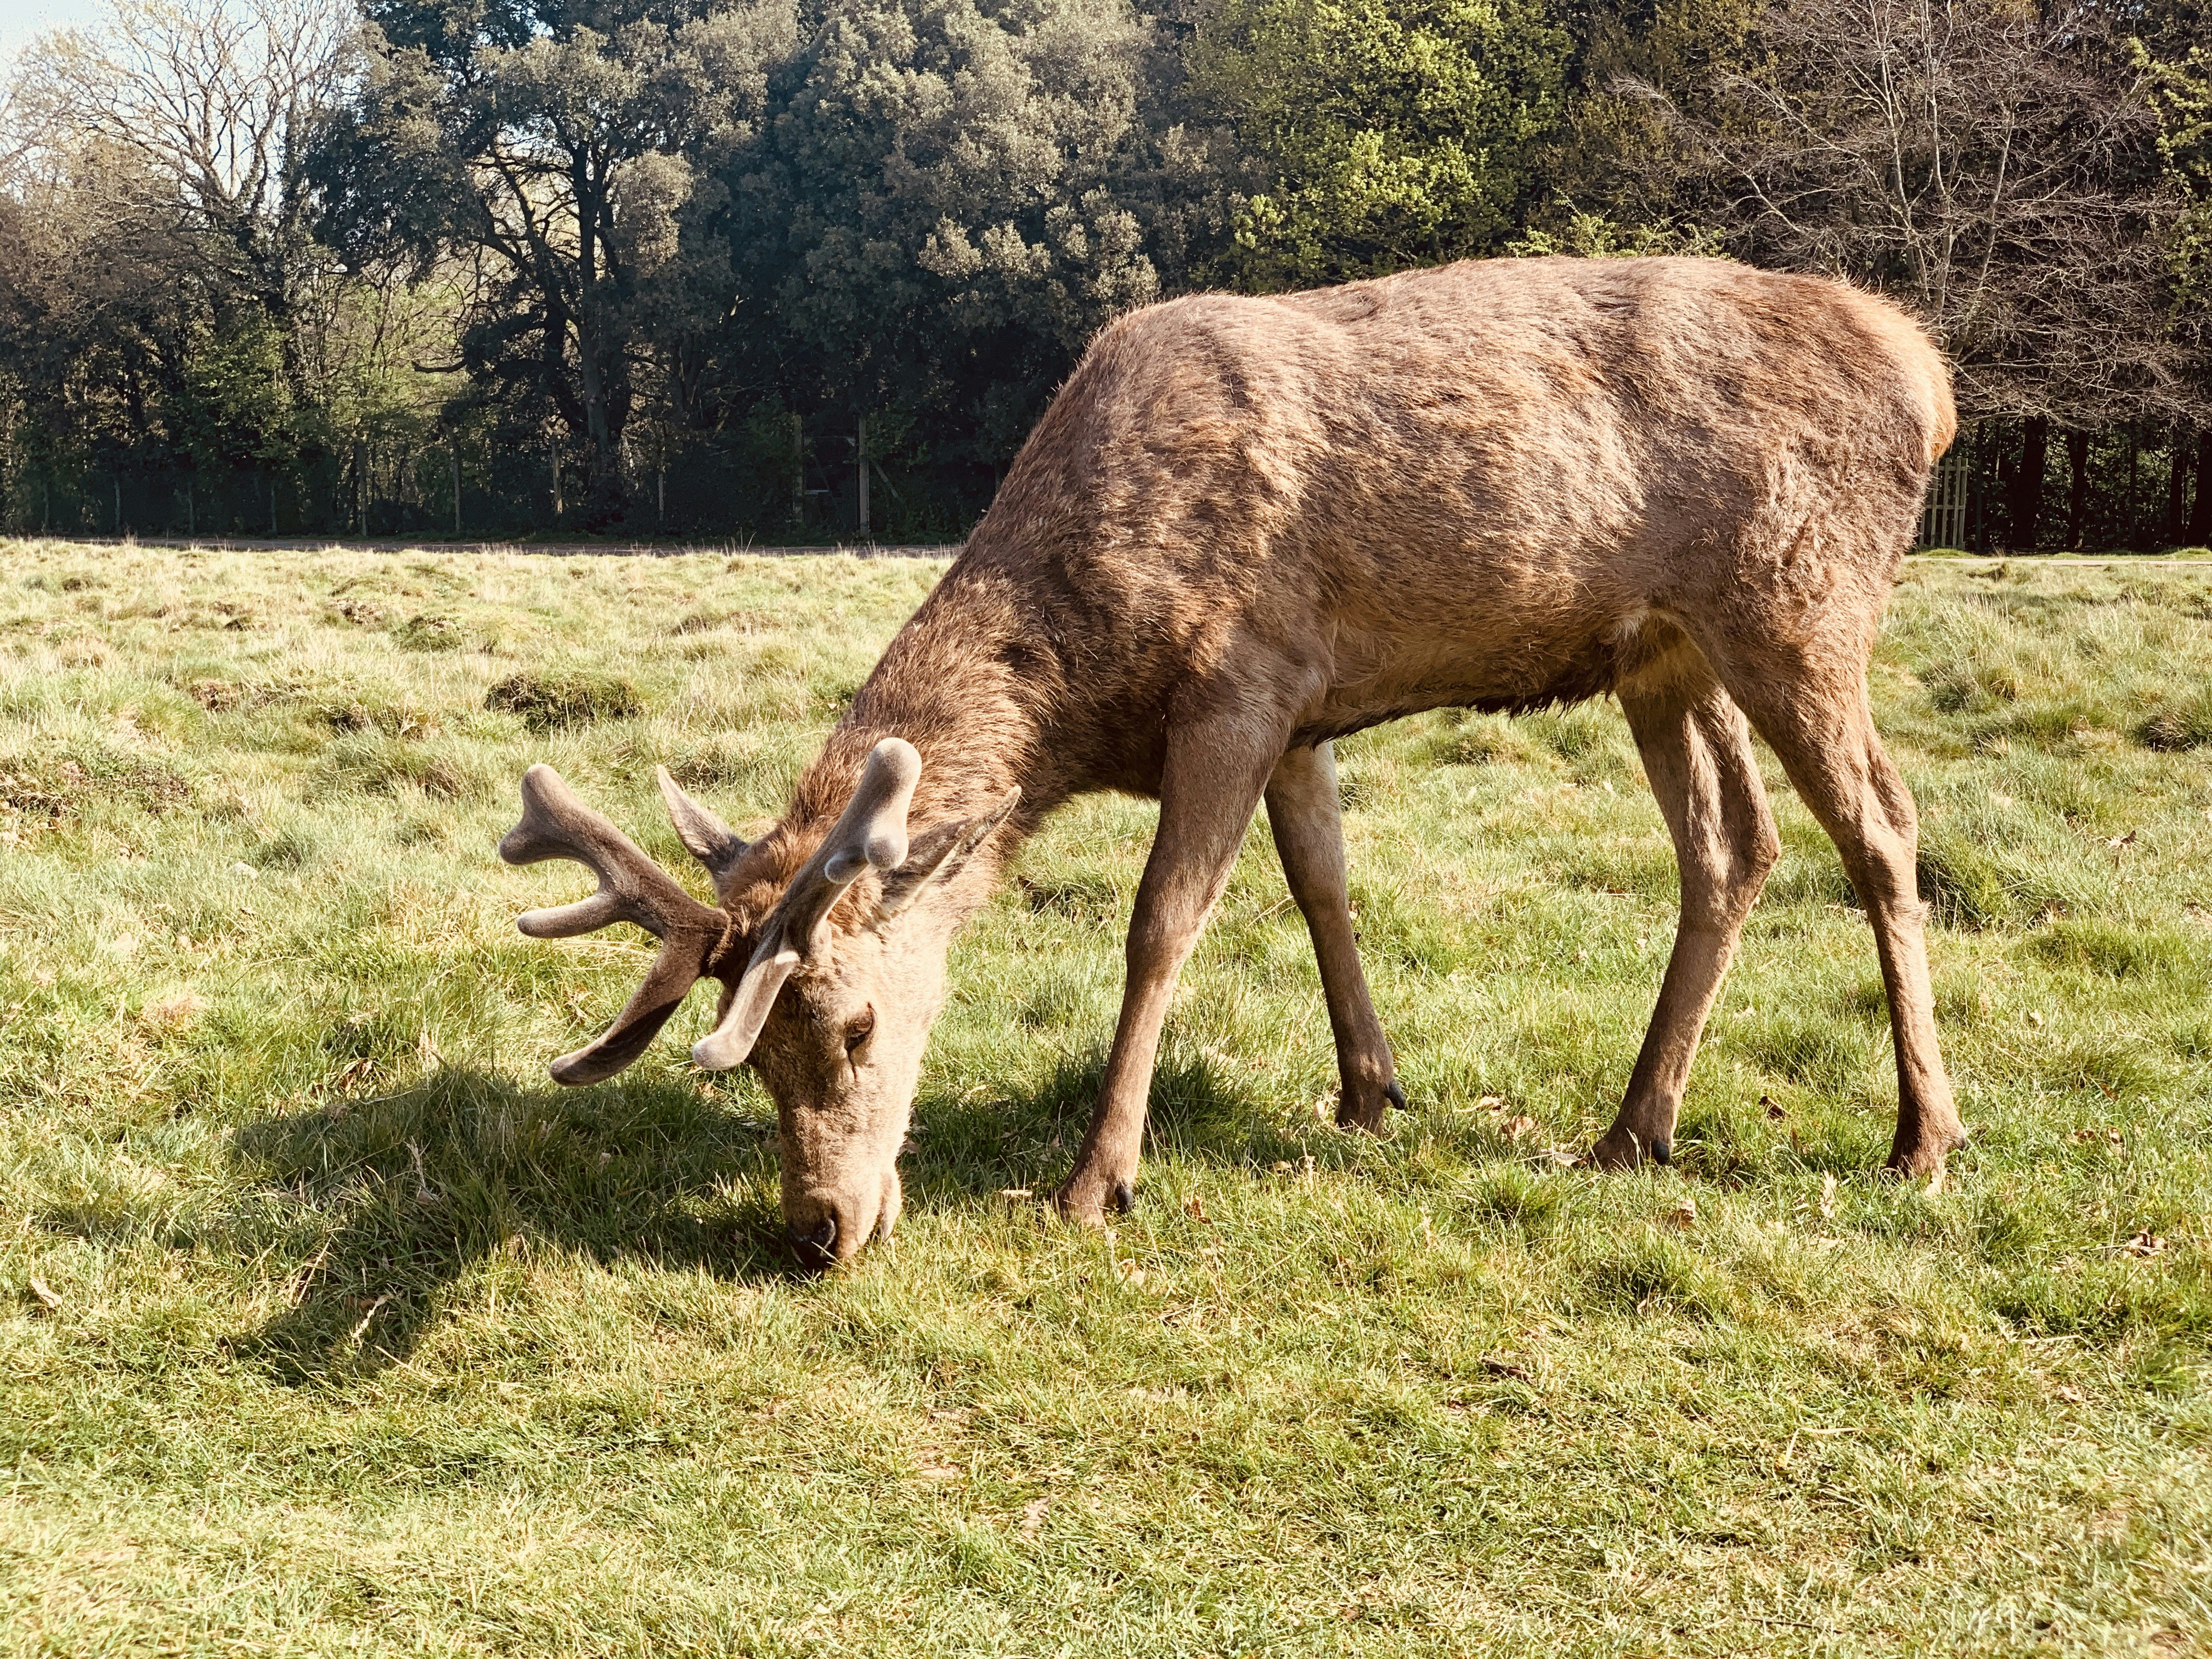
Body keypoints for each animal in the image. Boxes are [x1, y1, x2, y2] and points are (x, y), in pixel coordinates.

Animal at [498, 254, 1967, 1265]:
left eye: (858, 1025)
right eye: (753, 1065)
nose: (815, 1231)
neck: (1086, 681)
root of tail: (1935, 384)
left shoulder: (1240, 686)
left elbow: (1164, 923)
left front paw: (1098, 1179)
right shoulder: (1304, 715)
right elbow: (1324, 887)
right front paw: (1370, 1092)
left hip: (1800, 599)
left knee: (1883, 827)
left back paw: (1923, 1139)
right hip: (1664, 653)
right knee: (1734, 844)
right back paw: (1632, 1129)